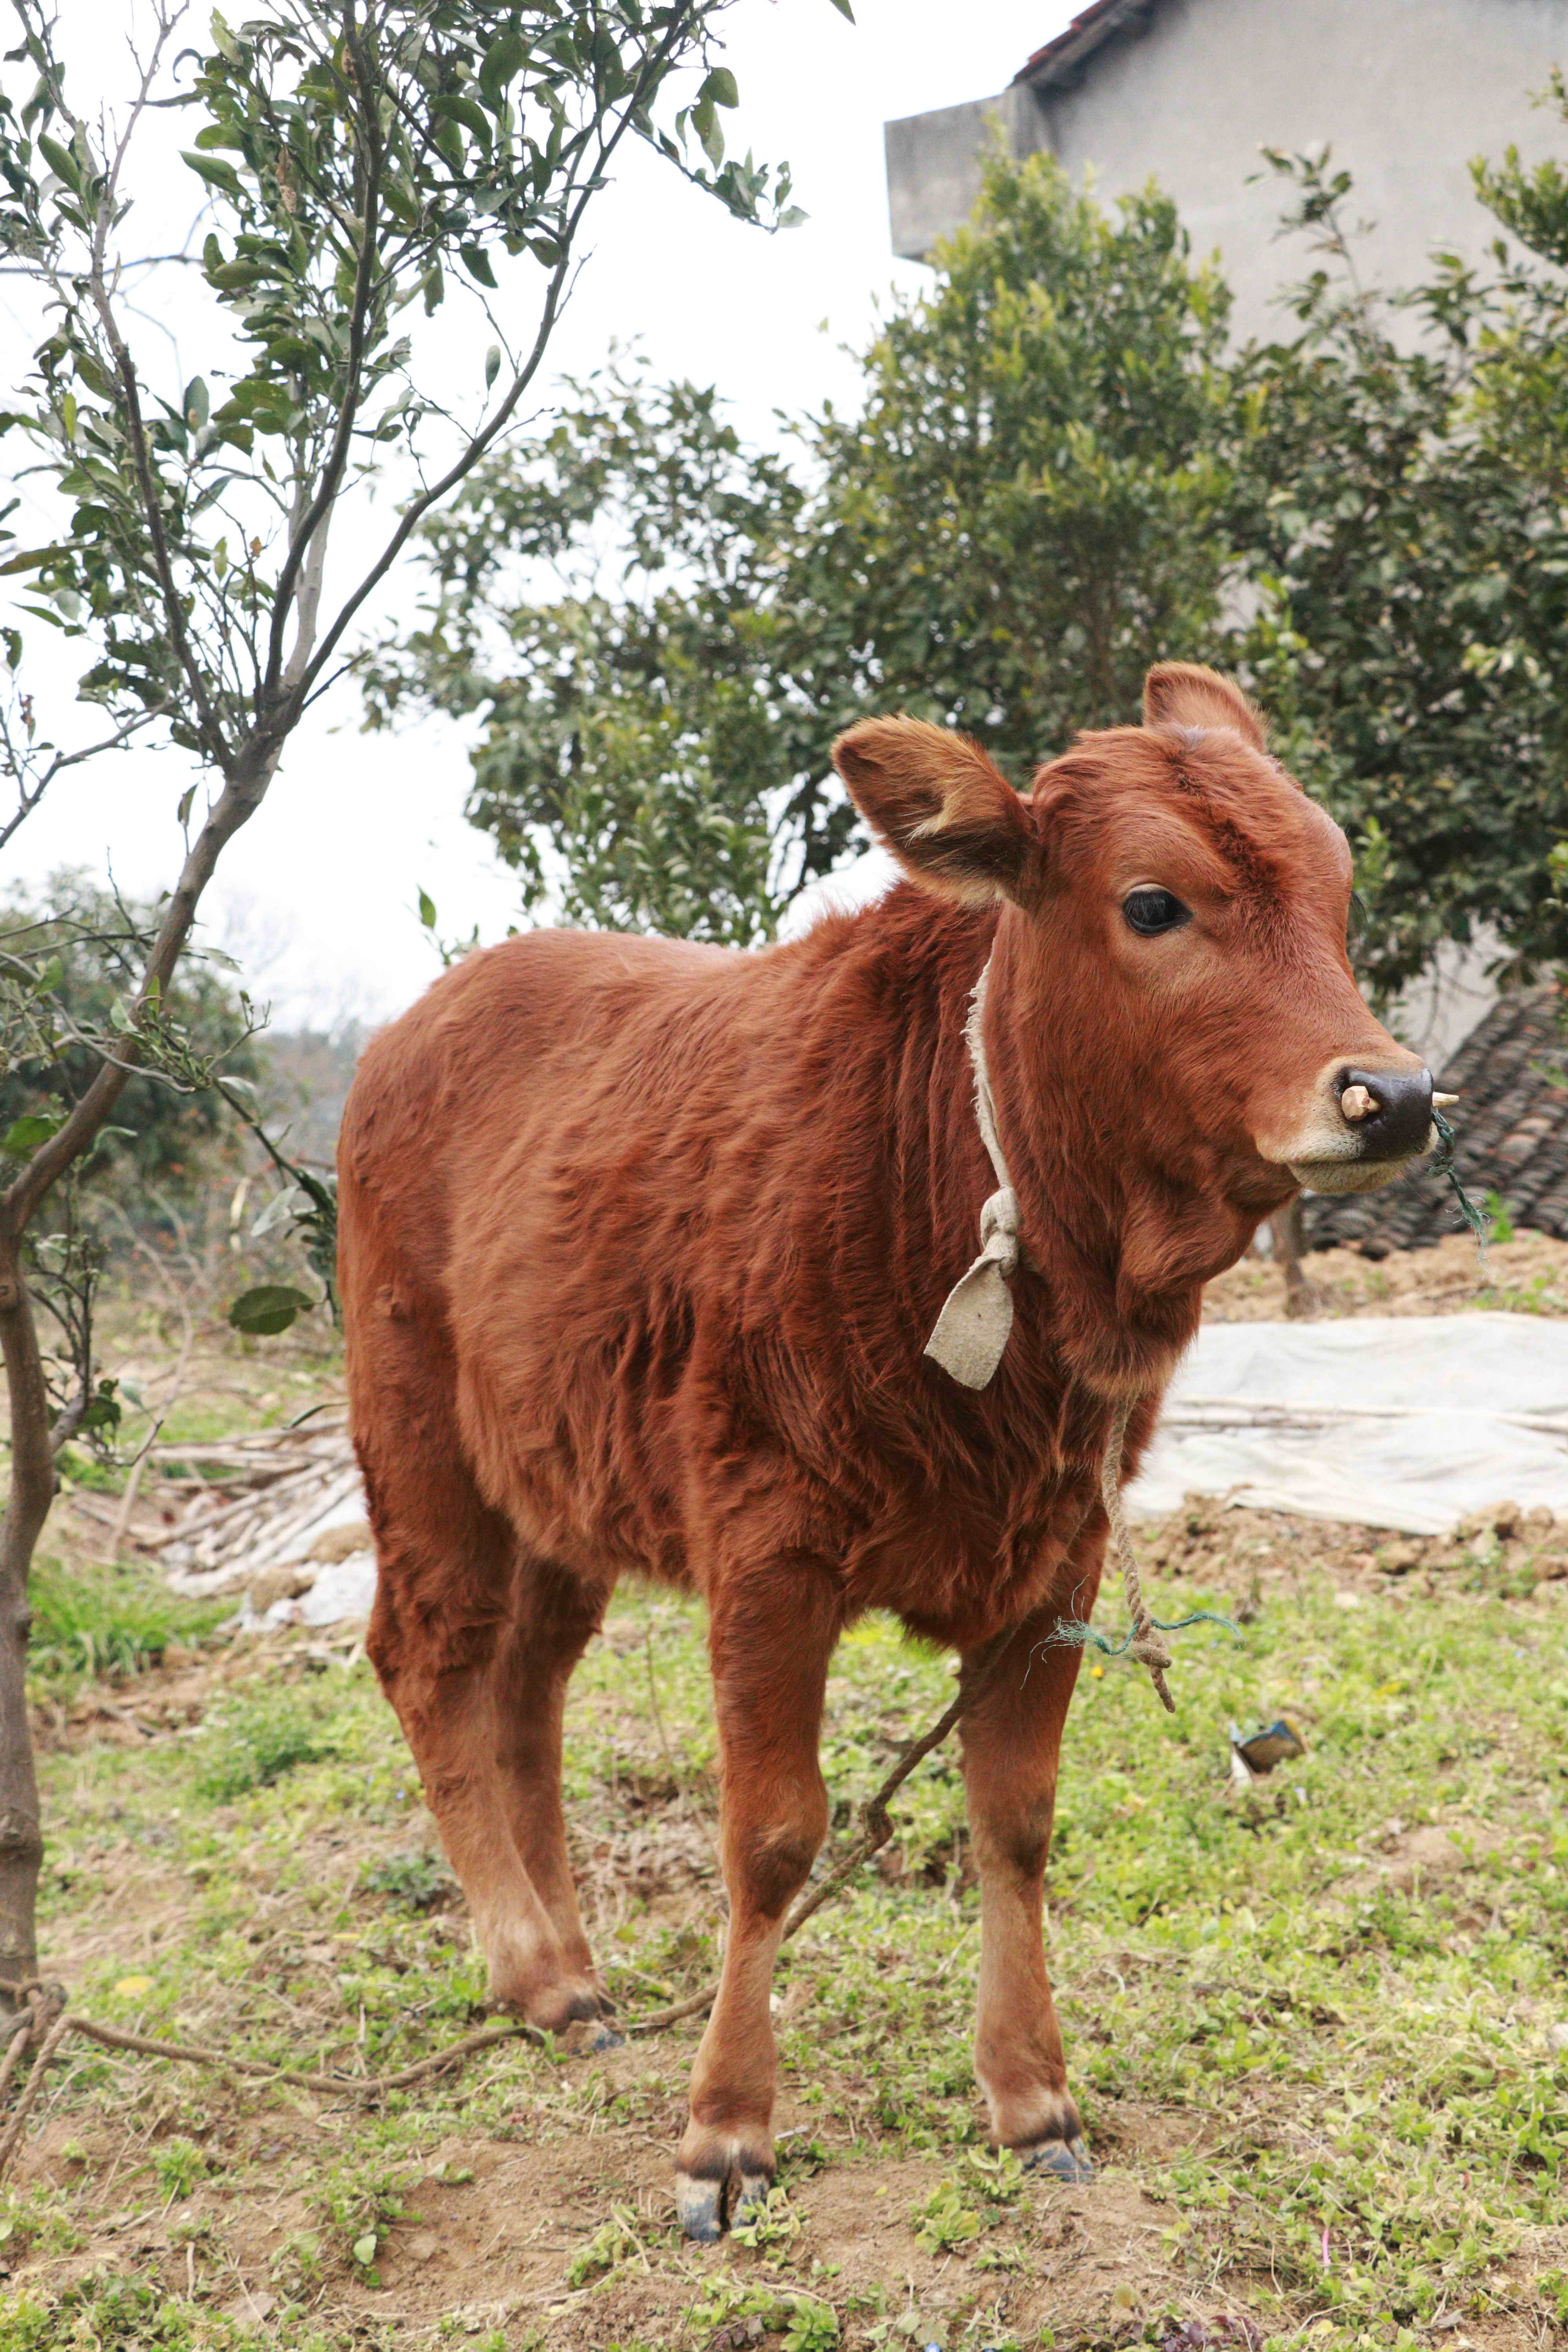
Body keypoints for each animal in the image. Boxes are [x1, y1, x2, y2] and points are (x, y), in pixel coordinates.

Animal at [341, 663, 1439, 2239]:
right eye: (1153, 903)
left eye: (1339, 892)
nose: (1393, 1096)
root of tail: (422, 1020)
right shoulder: (766, 1555)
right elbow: (771, 1838)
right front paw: (726, 2130)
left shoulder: (1057, 1561)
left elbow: (1015, 1820)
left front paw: (1030, 2094)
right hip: (420, 1445)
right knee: (431, 1662)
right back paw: (532, 1965)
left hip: (561, 1491)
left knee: (527, 1692)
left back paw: (574, 1970)